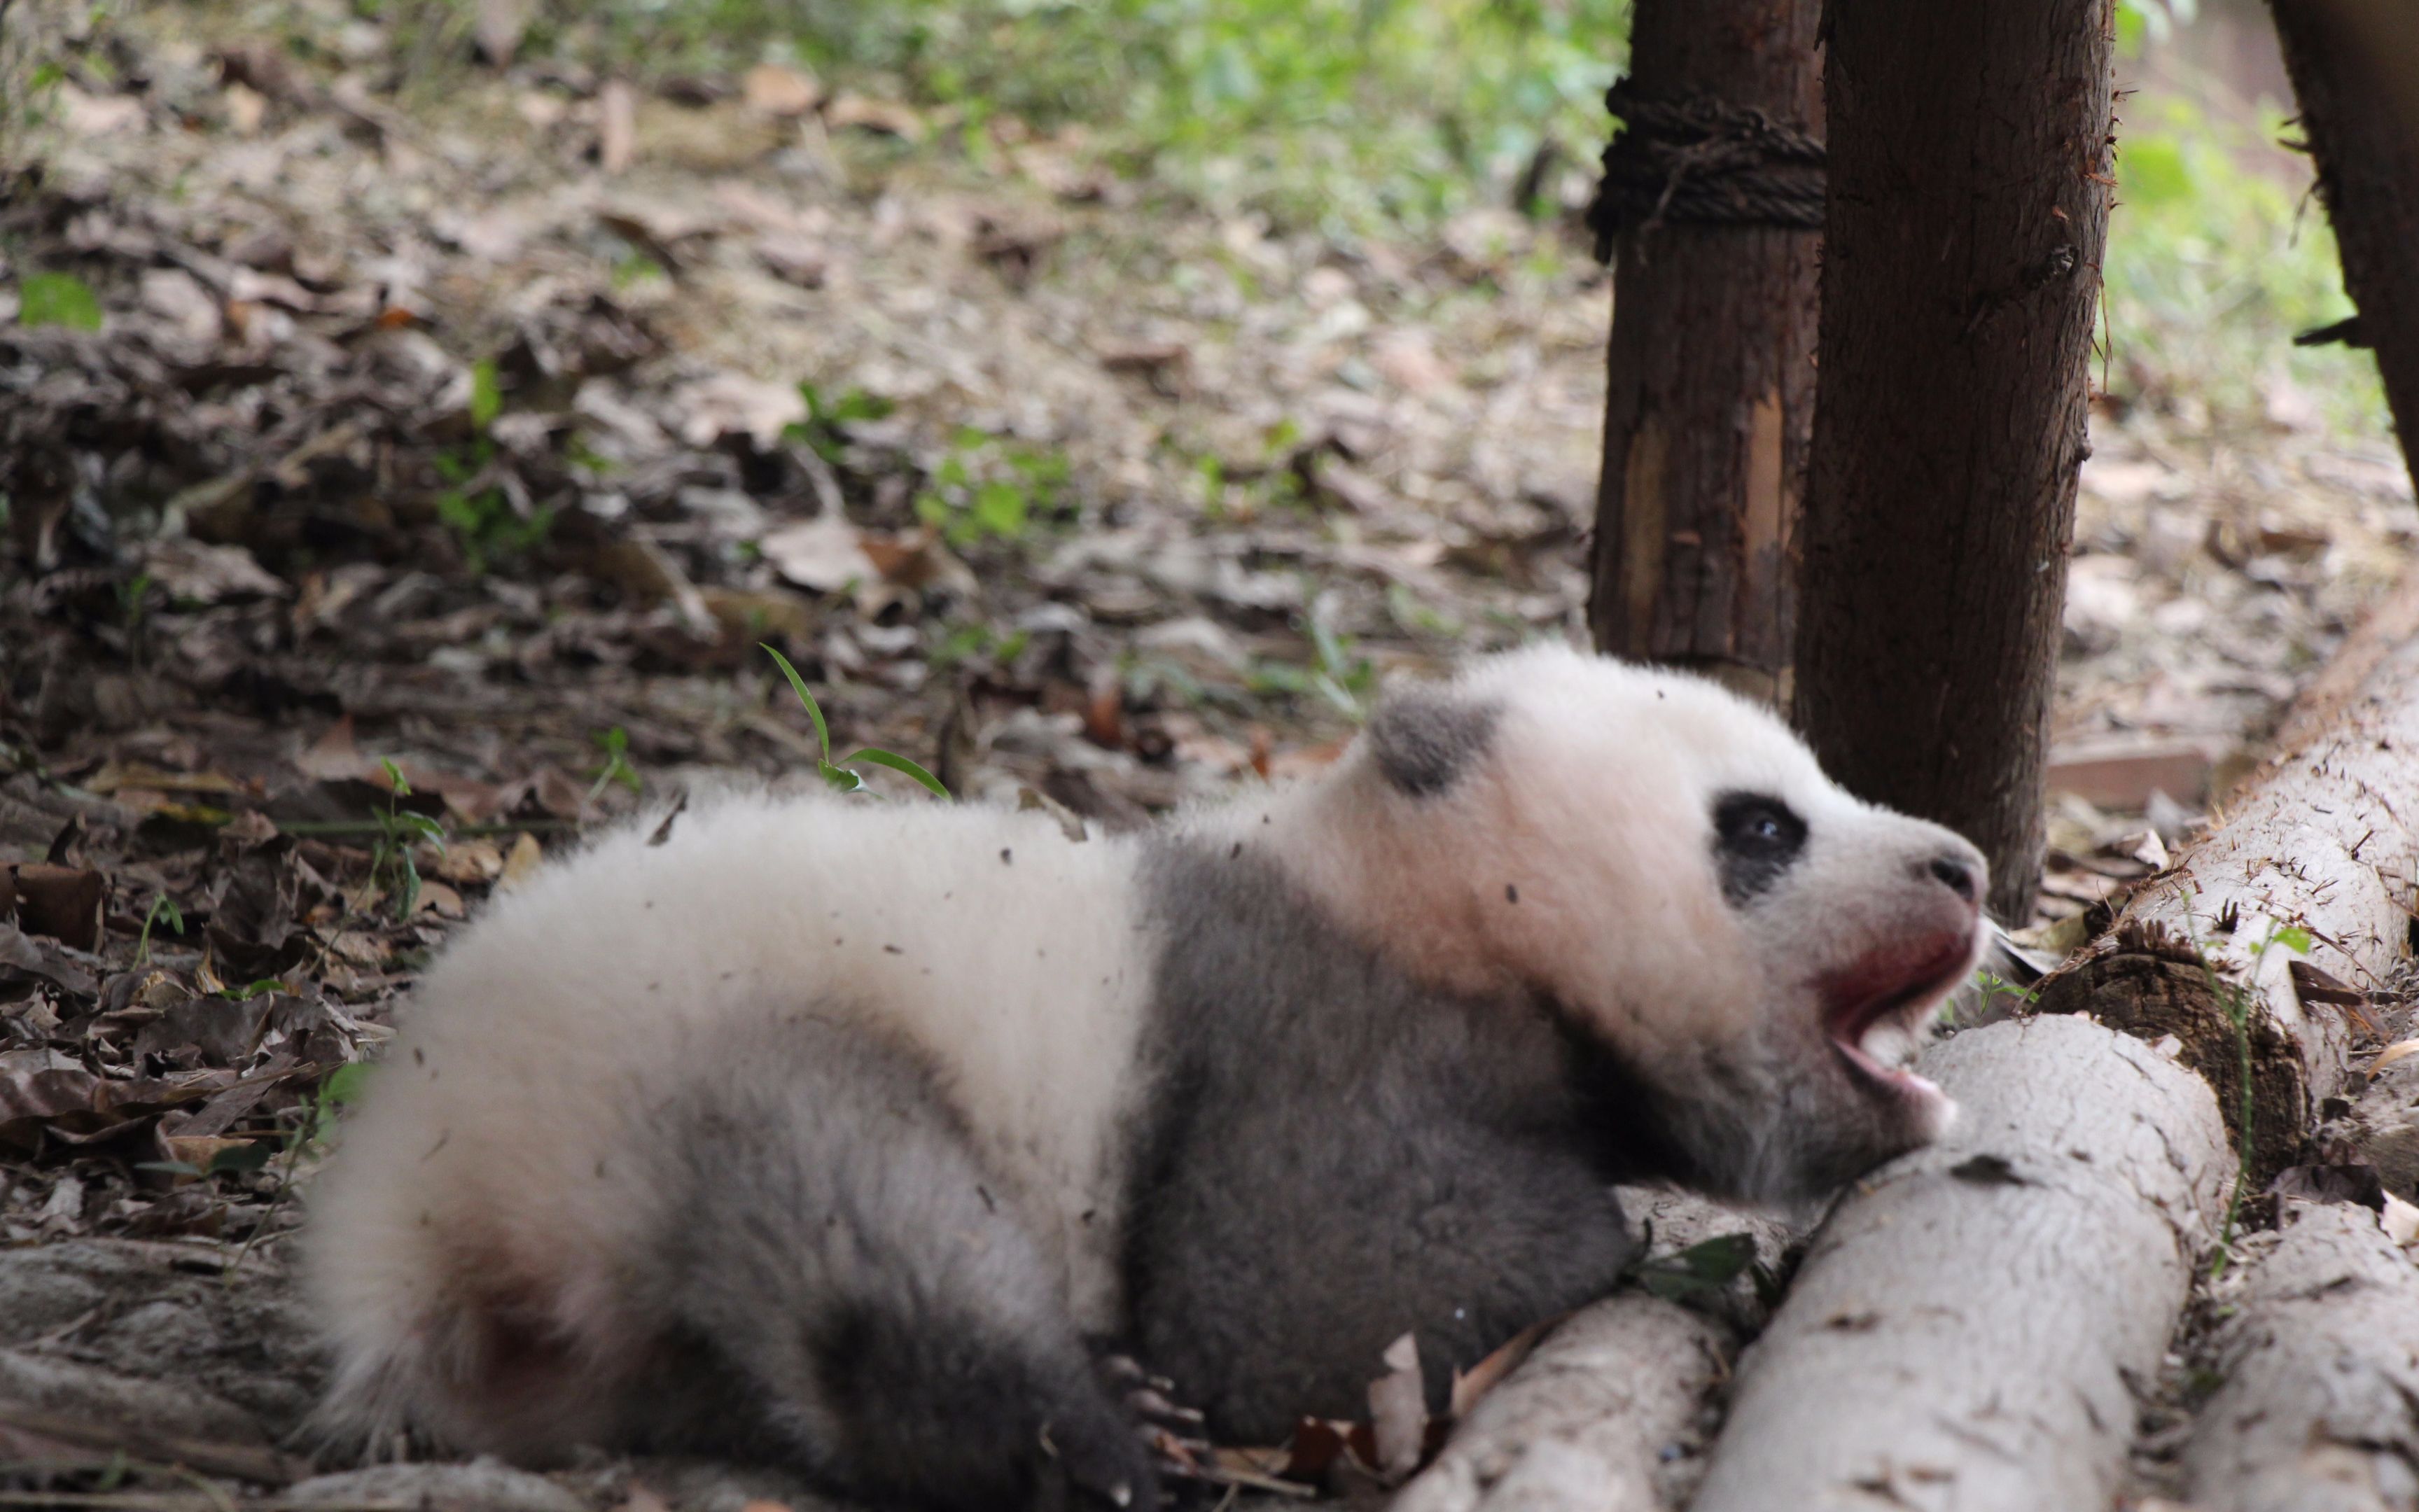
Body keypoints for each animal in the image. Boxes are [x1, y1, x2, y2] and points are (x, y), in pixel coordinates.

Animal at [307, 643, 1984, 1509]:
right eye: (1760, 827)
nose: (1964, 866)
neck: (1410, 887)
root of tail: (414, 1215)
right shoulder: (1303, 1041)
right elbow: (1323, 1300)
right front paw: (1603, 1248)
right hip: (694, 1052)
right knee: (869, 1241)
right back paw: (1095, 1442)